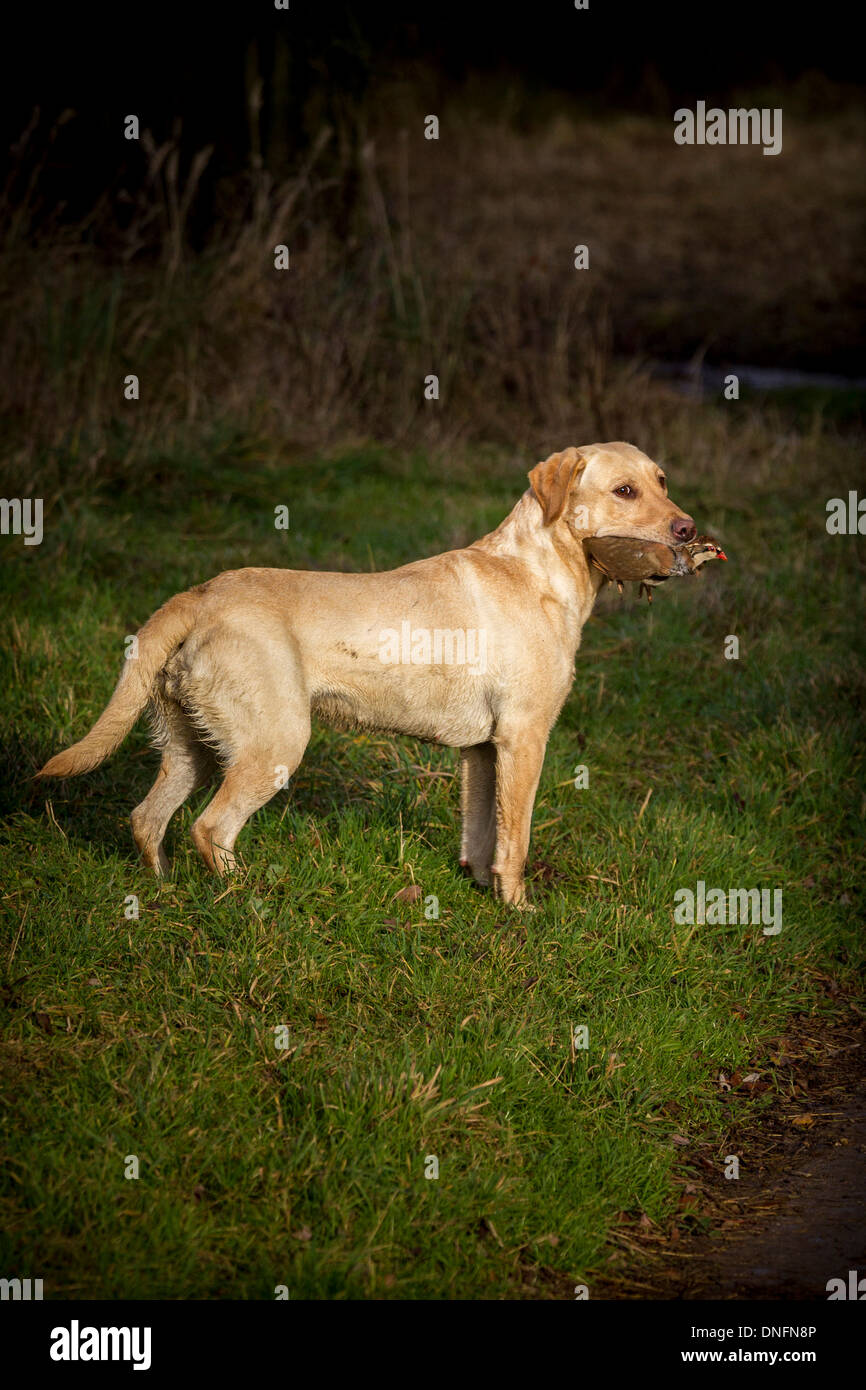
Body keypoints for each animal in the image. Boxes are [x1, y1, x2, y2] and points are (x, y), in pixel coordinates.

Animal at [40, 439, 695, 906]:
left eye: (663, 481)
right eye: (625, 490)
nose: (689, 529)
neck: (540, 568)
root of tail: (199, 595)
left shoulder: (482, 751)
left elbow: (482, 834)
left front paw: (483, 895)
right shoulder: (523, 738)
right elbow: (517, 840)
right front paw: (519, 913)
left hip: (193, 748)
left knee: (147, 819)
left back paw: (162, 890)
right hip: (276, 744)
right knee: (210, 828)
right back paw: (250, 896)